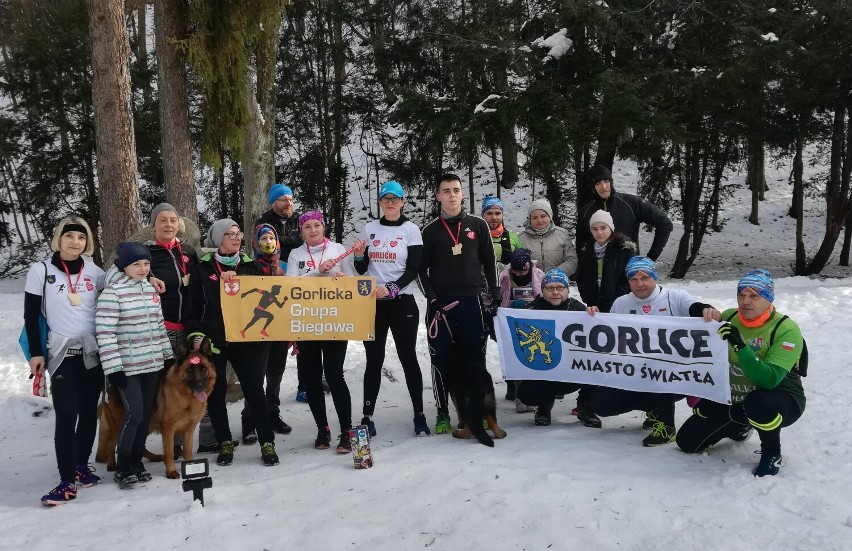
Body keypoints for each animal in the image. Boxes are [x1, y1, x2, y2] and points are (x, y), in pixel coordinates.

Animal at [96, 338, 216, 480]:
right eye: (190, 370)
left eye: (203, 369)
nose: (200, 386)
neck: (186, 398)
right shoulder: (168, 429)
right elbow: (170, 452)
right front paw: (171, 471)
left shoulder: (189, 430)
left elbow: (187, 451)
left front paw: (192, 468)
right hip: (121, 424)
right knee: (112, 444)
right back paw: (113, 465)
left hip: (146, 424)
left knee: (139, 446)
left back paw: (151, 459)